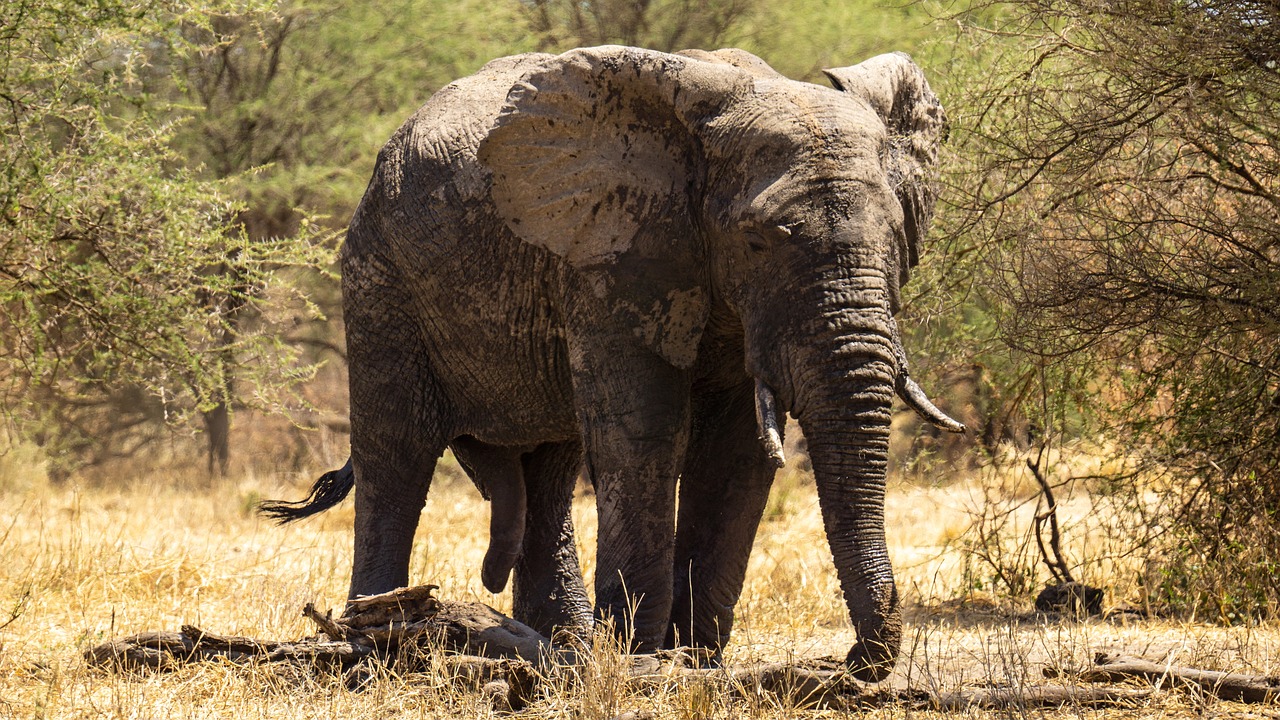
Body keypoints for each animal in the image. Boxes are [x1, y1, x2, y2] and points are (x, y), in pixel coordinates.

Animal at [259, 43, 962, 676]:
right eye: (757, 241)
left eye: (898, 236)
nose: (853, 662)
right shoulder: (613, 253)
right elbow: (643, 433)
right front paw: (641, 663)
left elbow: (735, 452)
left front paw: (693, 662)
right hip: (379, 279)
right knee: (397, 455)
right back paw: (371, 640)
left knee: (549, 471)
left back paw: (556, 645)